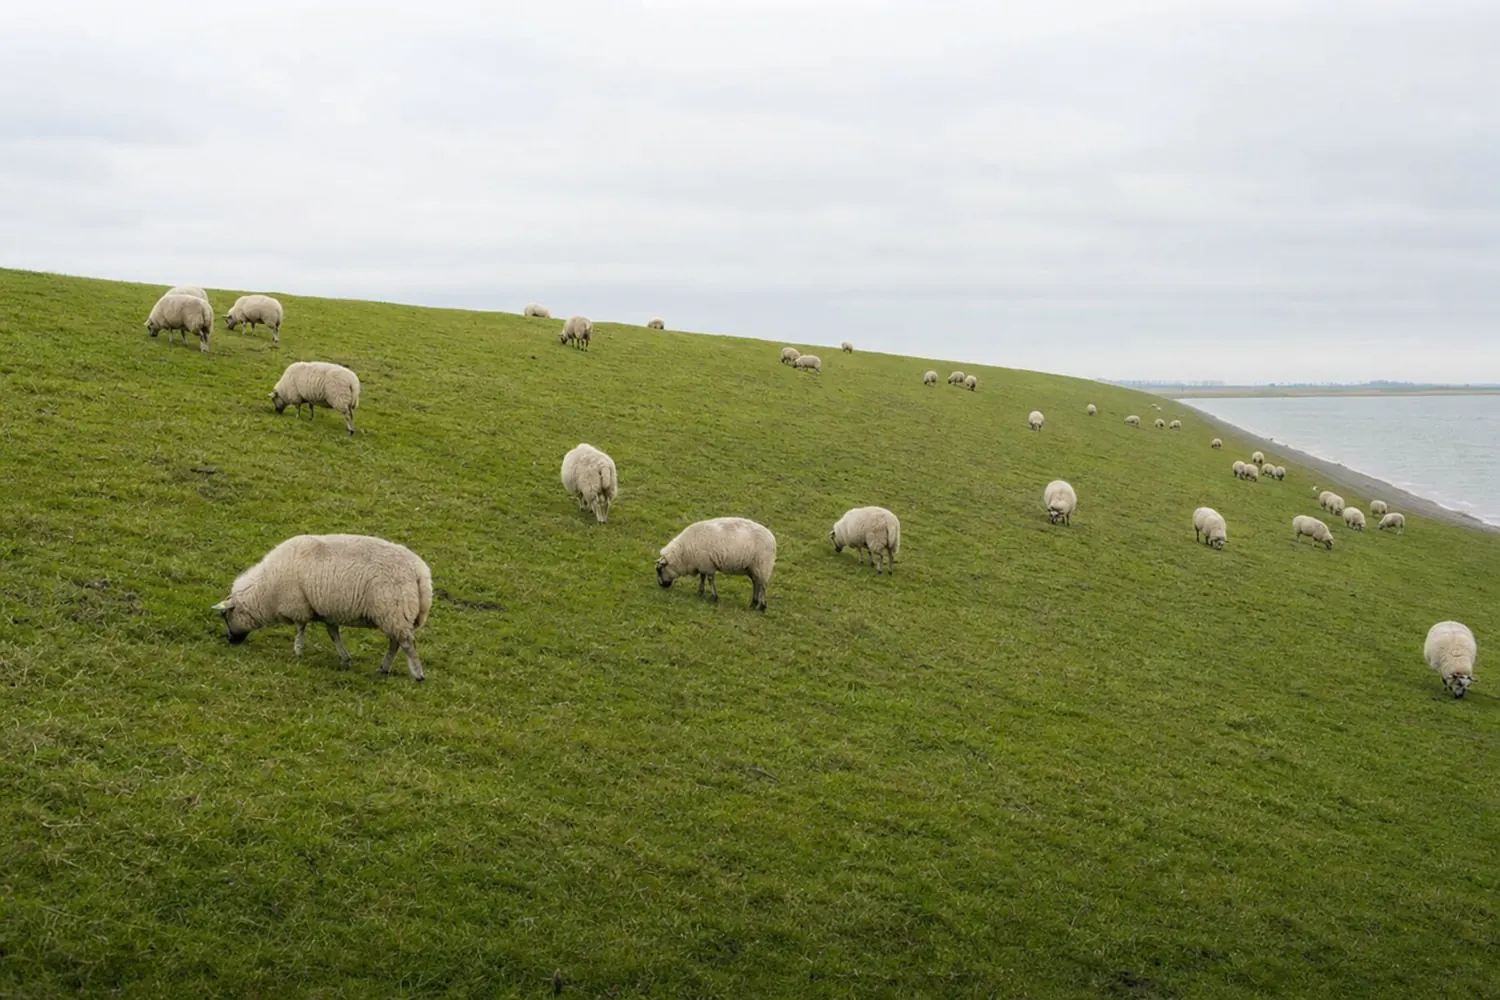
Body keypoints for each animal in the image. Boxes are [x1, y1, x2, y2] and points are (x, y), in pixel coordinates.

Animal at [212, 534, 432, 681]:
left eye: (224, 614)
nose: (230, 641)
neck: (265, 592)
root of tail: (420, 571)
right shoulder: (328, 612)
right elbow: (333, 635)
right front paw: (345, 658)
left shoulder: (297, 605)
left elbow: (300, 628)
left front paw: (297, 651)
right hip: (395, 615)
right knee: (395, 642)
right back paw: (384, 668)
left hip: (393, 610)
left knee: (406, 643)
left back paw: (417, 675)